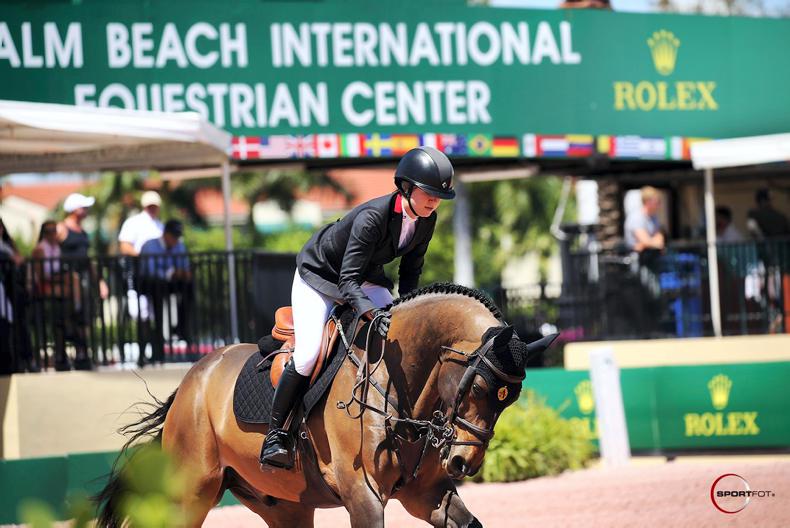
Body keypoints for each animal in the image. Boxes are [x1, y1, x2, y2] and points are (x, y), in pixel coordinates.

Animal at [95, 283, 557, 527]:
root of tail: (191, 381)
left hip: (284, 506)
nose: (464, 463)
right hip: (190, 494)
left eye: (511, 398)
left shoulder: (427, 494)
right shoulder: (364, 496)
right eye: (477, 386)